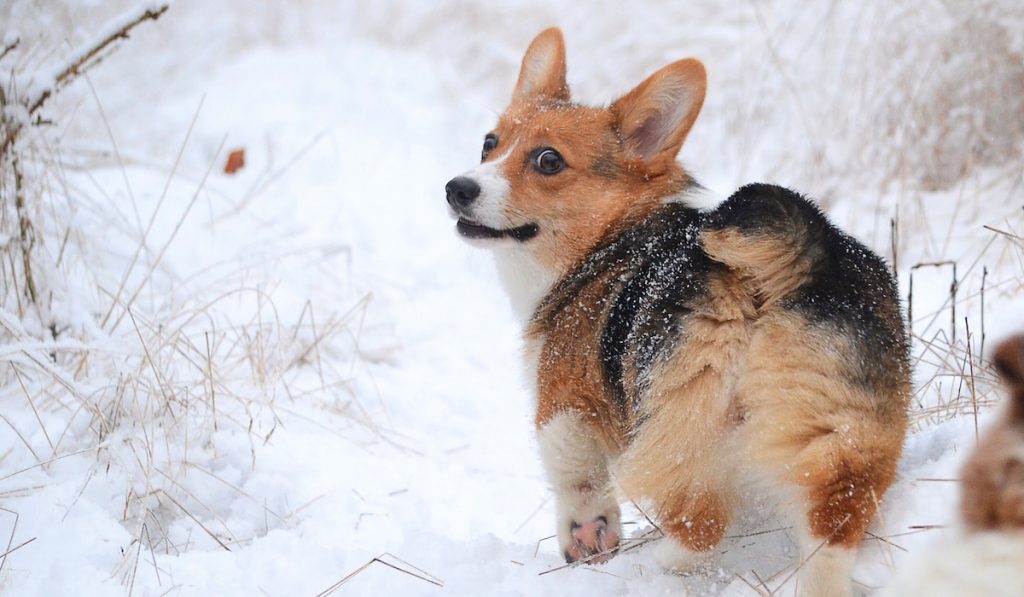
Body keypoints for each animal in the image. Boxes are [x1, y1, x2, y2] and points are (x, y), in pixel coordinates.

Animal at [448, 29, 913, 597]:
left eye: (548, 161)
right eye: (489, 143)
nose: (457, 188)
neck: (609, 240)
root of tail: (783, 265)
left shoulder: (563, 401)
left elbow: (575, 478)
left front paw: (588, 540)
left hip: (680, 425)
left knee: (701, 525)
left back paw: (663, 563)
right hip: (851, 431)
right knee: (832, 528)